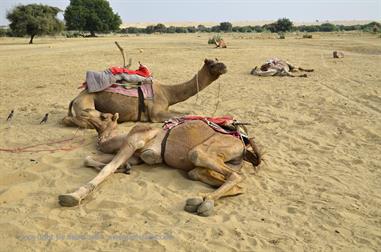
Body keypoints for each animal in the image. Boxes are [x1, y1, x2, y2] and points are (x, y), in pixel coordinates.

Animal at [58, 112, 262, 217]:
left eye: (103, 116)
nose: (83, 112)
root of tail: (243, 145)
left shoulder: (133, 142)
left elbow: (109, 167)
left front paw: (72, 196)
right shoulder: (137, 156)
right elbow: (90, 159)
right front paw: (125, 168)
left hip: (211, 149)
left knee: (231, 174)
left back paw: (204, 203)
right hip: (212, 164)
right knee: (230, 182)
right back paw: (201, 201)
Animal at [62, 58, 226, 128]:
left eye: (218, 60)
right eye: (212, 64)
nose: (224, 66)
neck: (168, 93)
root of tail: (75, 99)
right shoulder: (156, 113)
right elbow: (184, 115)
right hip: (86, 105)